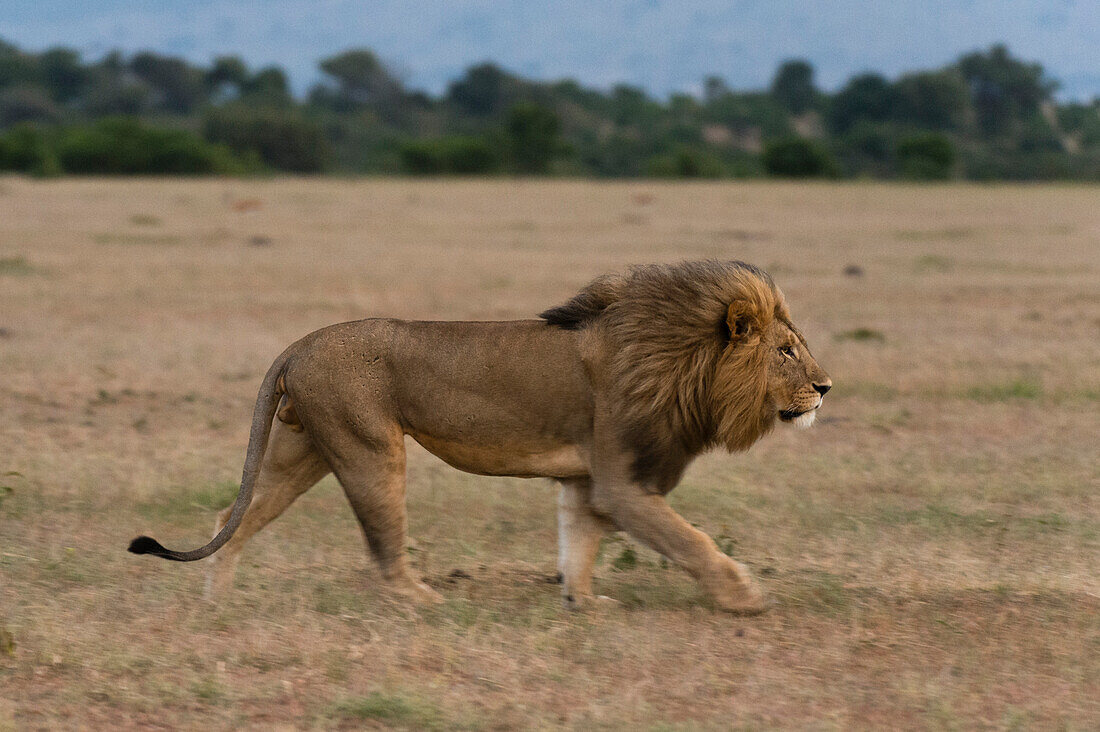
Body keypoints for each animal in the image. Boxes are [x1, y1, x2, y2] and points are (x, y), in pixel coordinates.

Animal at [128, 259, 827, 612]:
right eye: (787, 352)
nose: (825, 388)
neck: (681, 361)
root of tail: (297, 345)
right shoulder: (624, 480)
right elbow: (692, 540)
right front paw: (744, 597)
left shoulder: (587, 477)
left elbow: (579, 543)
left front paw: (583, 603)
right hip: (369, 448)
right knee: (384, 552)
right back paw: (423, 599)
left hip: (303, 451)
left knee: (233, 515)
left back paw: (216, 602)